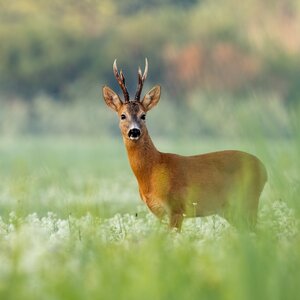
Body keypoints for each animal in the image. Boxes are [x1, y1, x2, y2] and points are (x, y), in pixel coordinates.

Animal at [102, 59, 268, 232]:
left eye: (143, 115)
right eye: (122, 115)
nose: (134, 131)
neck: (153, 170)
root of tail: (264, 170)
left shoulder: (176, 208)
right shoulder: (158, 213)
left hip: (248, 201)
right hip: (232, 210)